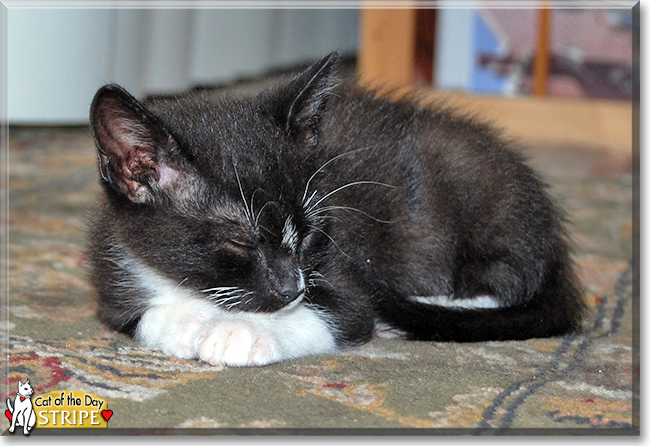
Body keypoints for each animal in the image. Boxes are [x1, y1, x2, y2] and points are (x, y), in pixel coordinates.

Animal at [87, 52, 584, 366]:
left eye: (309, 234)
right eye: (239, 240)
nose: (292, 288)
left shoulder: (345, 272)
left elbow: (339, 314)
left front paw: (241, 332)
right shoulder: (112, 275)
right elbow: (143, 316)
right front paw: (185, 321)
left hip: (478, 193)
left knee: (507, 281)